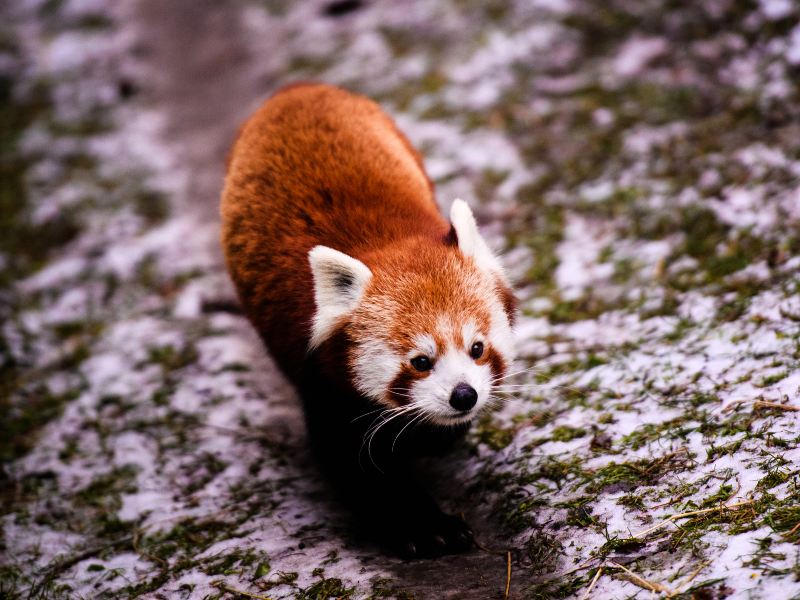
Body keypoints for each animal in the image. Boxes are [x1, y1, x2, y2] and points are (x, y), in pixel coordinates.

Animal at [222, 83, 516, 556]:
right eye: (420, 361)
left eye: (477, 348)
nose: (464, 397)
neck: (386, 242)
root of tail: (297, 89)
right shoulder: (320, 378)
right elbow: (357, 465)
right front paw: (421, 525)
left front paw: (438, 440)